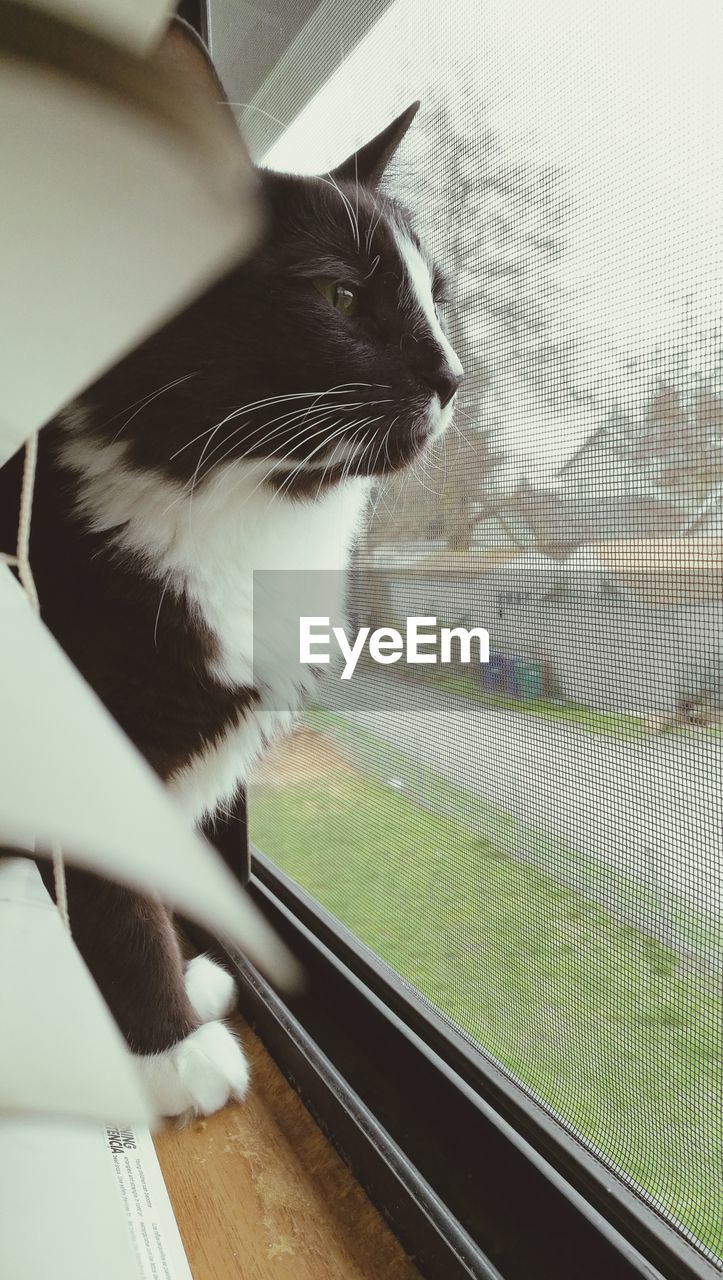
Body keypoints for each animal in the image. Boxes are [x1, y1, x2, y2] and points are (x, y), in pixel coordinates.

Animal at [0, 22, 463, 1121]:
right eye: (338, 294)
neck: (249, 517)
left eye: (438, 301)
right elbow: (116, 901)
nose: (454, 376)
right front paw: (168, 1048)